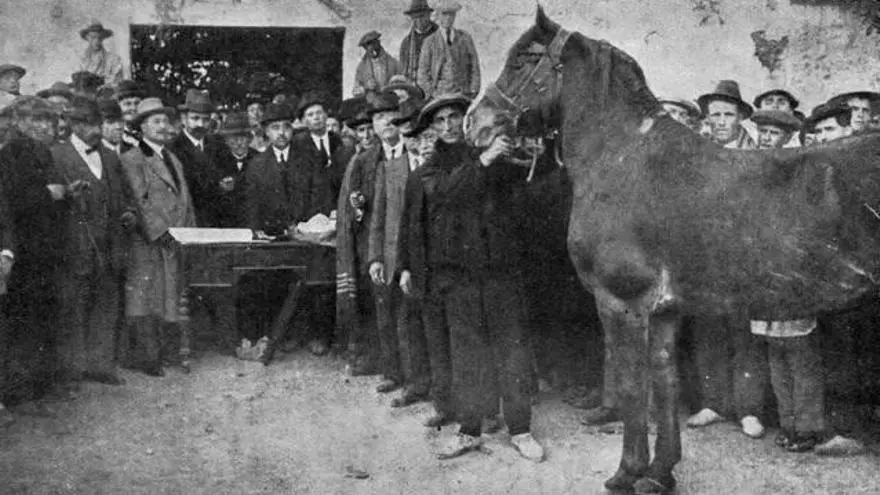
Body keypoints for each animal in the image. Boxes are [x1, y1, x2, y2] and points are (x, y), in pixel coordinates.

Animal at [466, 6, 880, 494]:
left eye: (524, 58)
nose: (475, 122)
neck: (623, 158)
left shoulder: (622, 303)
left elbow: (632, 386)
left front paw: (626, 472)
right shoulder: (663, 311)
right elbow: (664, 382)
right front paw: (660, 471)